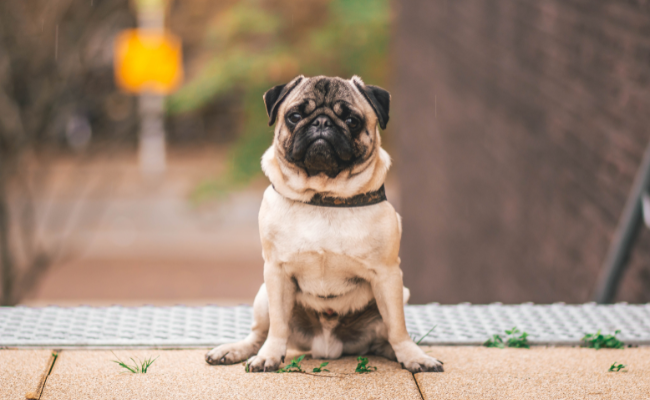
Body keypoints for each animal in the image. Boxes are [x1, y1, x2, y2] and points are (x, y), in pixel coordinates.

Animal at [205, 76, 442, 376]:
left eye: (352, 121)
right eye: (294, 116)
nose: (321, 122)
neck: (324, 196)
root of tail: (327, 347)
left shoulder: (388, 275)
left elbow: (398, 327)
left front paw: (413, 356)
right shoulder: (275, 272)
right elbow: (278, 326)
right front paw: (269, 356)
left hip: (400, 294)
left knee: (385, 336)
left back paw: (399, 352)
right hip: (262, 296)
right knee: (259, 334)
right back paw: (235, 350)